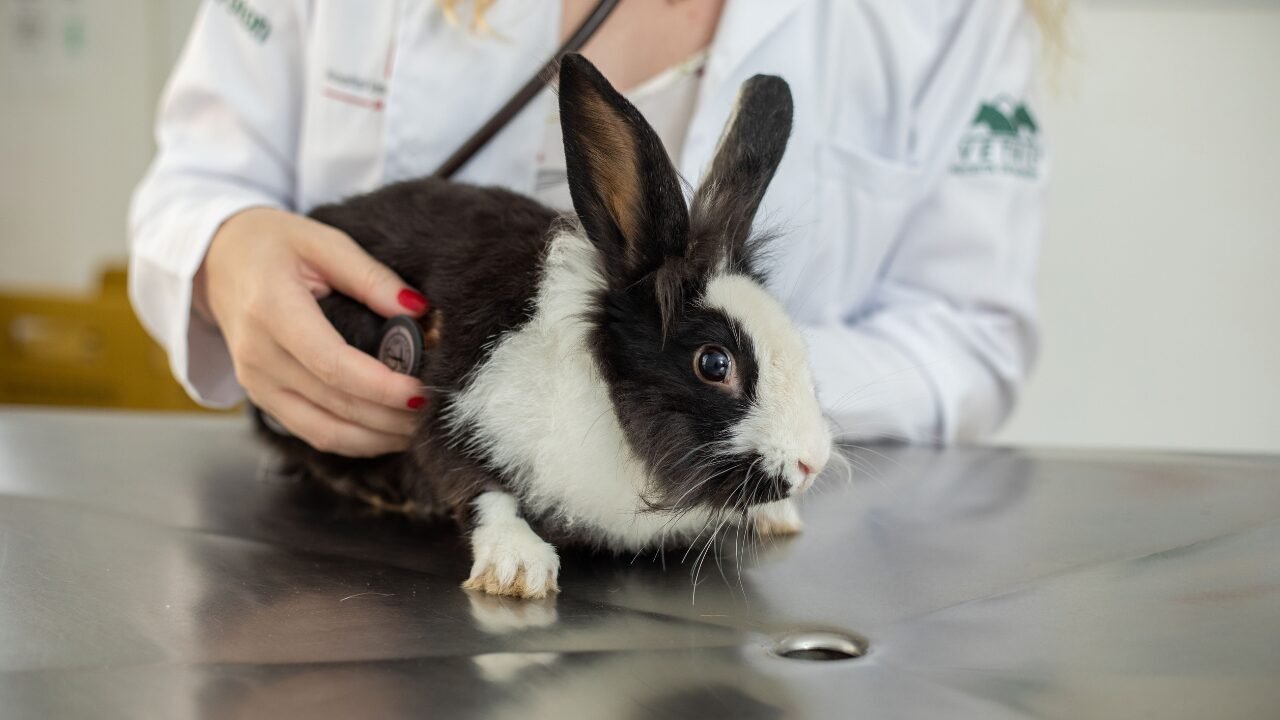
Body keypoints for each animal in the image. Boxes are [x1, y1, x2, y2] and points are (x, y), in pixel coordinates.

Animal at [254, 54, 833, 599]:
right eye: (714, 363)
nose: (812, 463)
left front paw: (775, 518)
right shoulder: (455, 407)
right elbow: (480, 490)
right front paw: (518, 568)